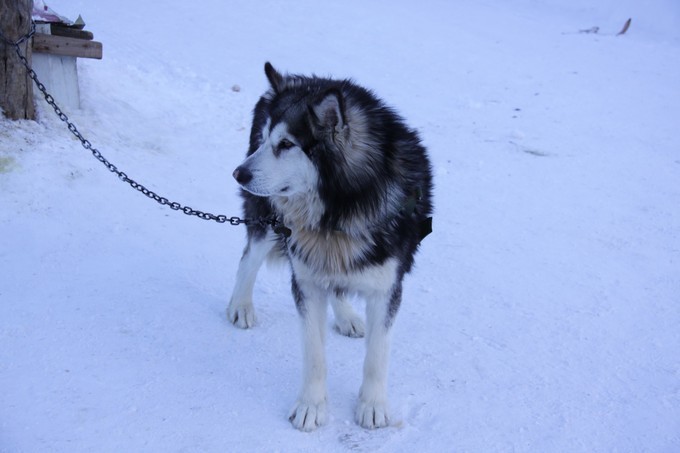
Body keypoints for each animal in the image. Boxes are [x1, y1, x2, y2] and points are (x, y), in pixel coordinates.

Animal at [228, 61, 430, 430]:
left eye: (286, 144)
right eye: (265, 140)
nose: (238, 173)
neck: (339, 209)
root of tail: (301, 77)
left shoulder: (387, 287)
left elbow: (377, 355)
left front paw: (373, 405)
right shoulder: (306, 281)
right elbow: (315, 355)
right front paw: (311, 405)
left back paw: (346, 315)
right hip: (268, 217)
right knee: (249, 257)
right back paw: (241, 305)